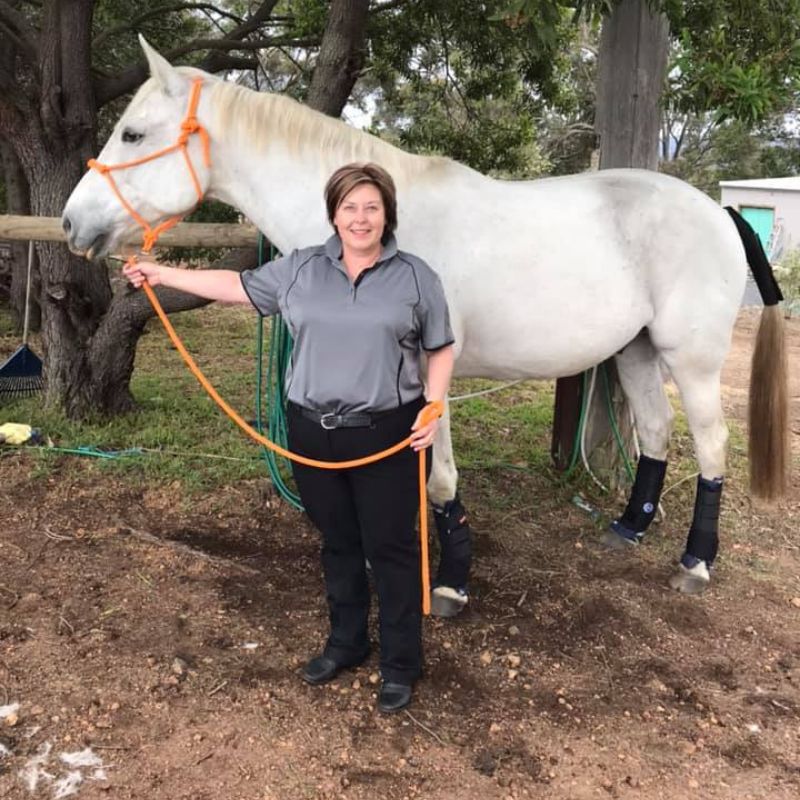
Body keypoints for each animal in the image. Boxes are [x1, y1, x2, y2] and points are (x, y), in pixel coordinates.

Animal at [62, 39, 789, 610]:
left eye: (132, 134)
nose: (71, 224)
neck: (383, 231)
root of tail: (719, 211)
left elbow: (438, 480)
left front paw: (449, 583)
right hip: (635, 350)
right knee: (658, 435)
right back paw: (629, 529)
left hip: (691, 358)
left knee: (712, 444)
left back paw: (695, 563)